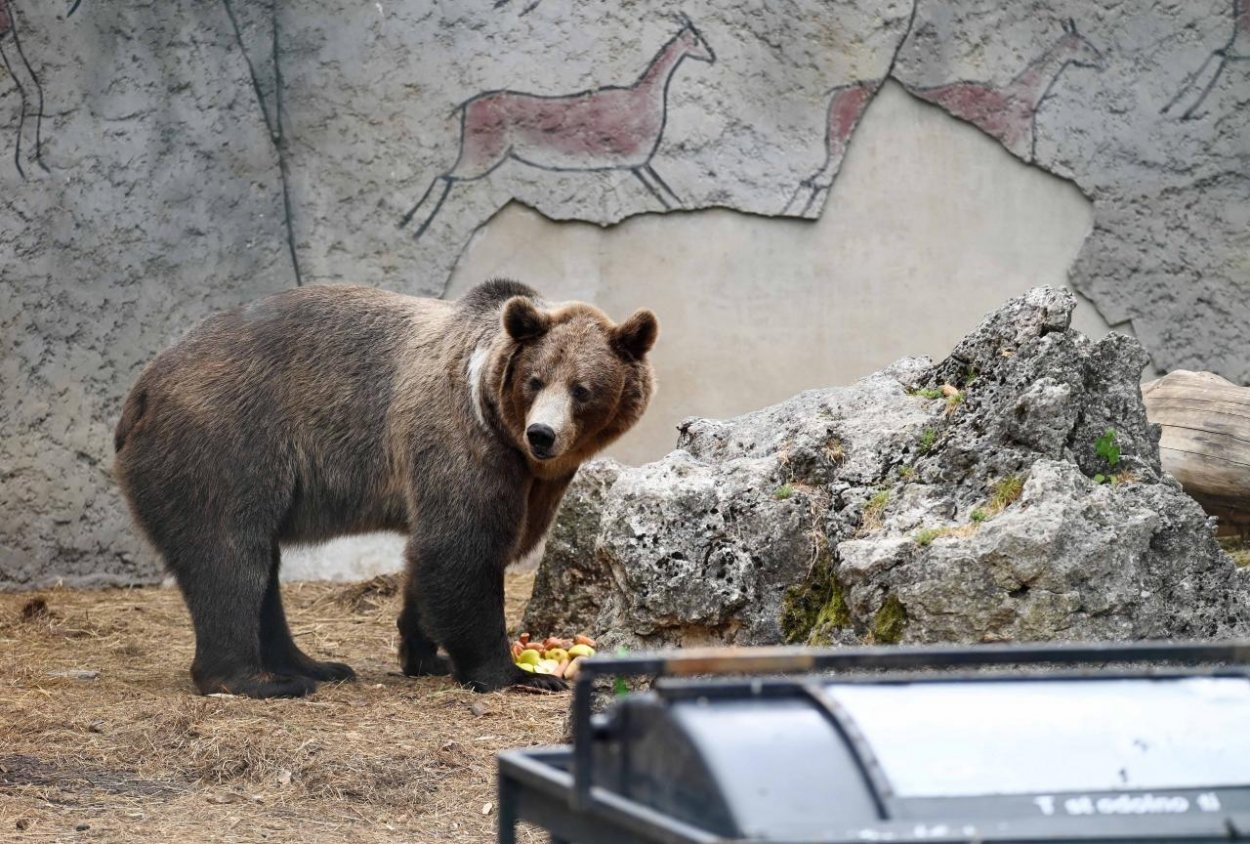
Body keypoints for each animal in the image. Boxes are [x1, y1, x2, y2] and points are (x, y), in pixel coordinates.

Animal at [116, 280, 660, 695]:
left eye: (582, 389)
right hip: (226, 444)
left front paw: (425, 653)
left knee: (259, 565)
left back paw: (313, 665)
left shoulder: (533, 482)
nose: (542, 434)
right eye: (535, 379)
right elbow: (460, 547)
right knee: (228, 556)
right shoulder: (463, 442)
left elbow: (433, 557)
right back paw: (257, 680)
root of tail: (140, 392)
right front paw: (512, 673)